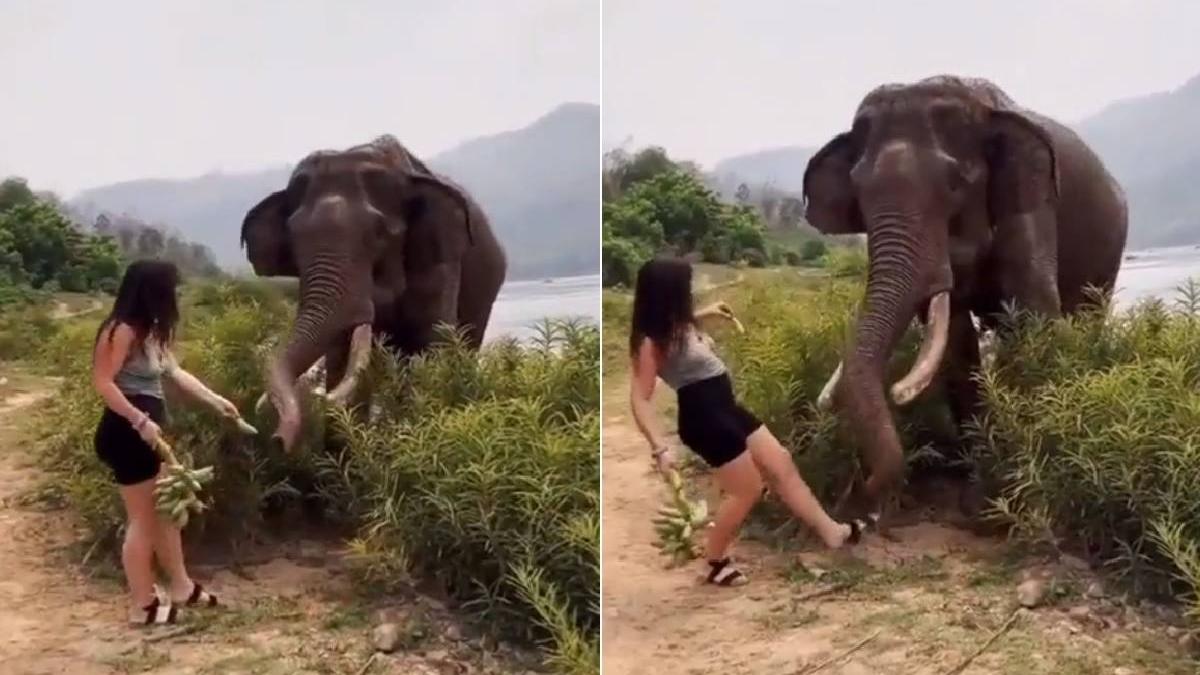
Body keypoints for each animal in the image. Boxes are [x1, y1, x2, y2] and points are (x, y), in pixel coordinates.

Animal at [241, 135, 507, 451]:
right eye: (292, 238)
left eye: (379, 233)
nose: (278, 440)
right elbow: (343, 358)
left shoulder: (442, 257)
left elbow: (435, 342)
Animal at [802, 75, 1127, 521]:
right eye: (858, 193)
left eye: (954, 185)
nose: (857, 497)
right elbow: (955, 343)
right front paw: (981, 495)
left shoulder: (1030, 200)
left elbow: (1035, 314)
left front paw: (1009, 498)